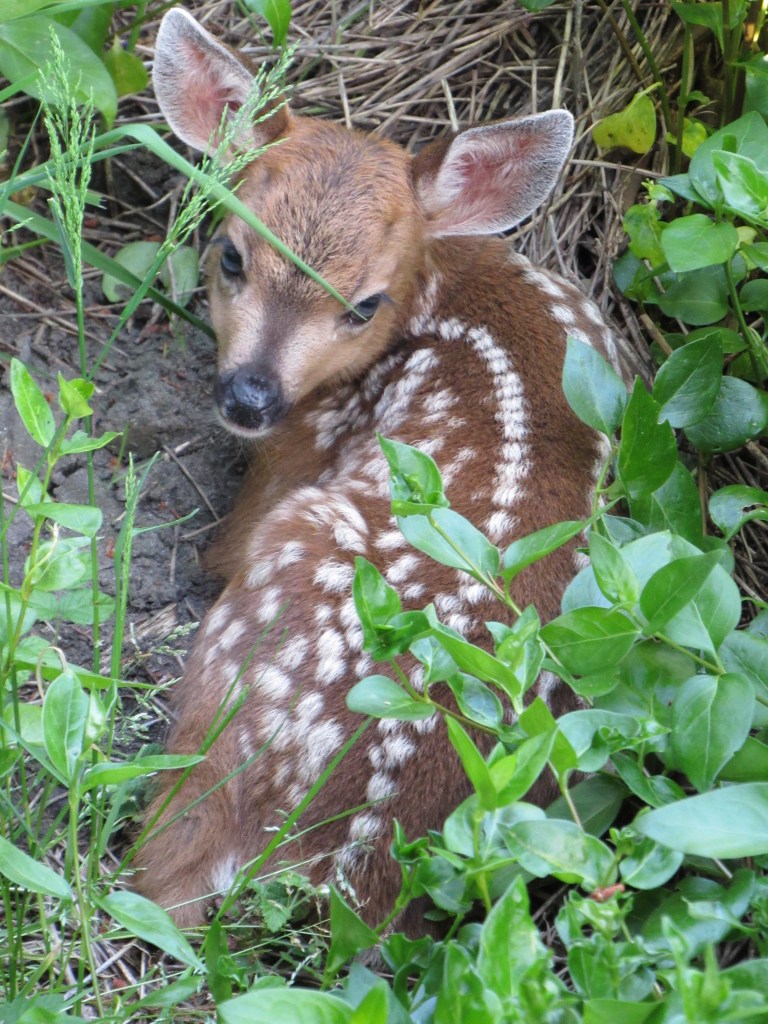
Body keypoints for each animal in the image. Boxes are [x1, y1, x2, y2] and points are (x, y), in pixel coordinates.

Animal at [135, 7, 623, 931]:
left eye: (364, 304)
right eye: (230, 255)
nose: (248, 397)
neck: (439, 284)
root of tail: (330, 867)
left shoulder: (296, 453)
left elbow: (224, 542)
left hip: (285, 567)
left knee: (155, 877)